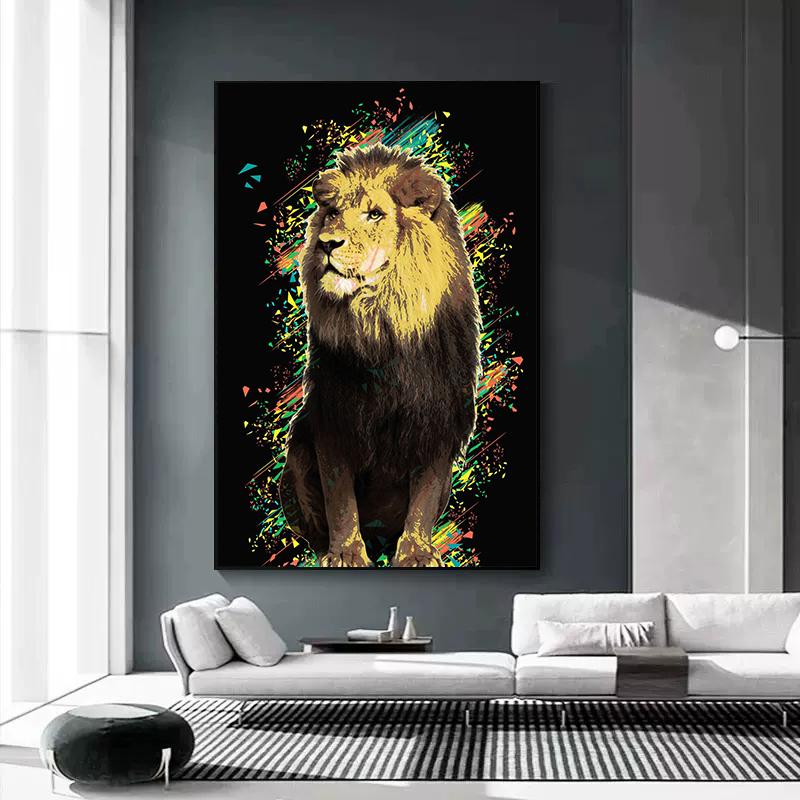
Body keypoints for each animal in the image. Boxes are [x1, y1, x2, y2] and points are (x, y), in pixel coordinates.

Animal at [278, 143, 481, 567]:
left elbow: (423, 497)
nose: (326, 243)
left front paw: (417, 553)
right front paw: (345, 554)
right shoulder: (335, 417)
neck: (383, 328)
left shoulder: (437, 418)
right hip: (296, 460)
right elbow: (339, 499)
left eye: (374, 214)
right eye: (333, 213)